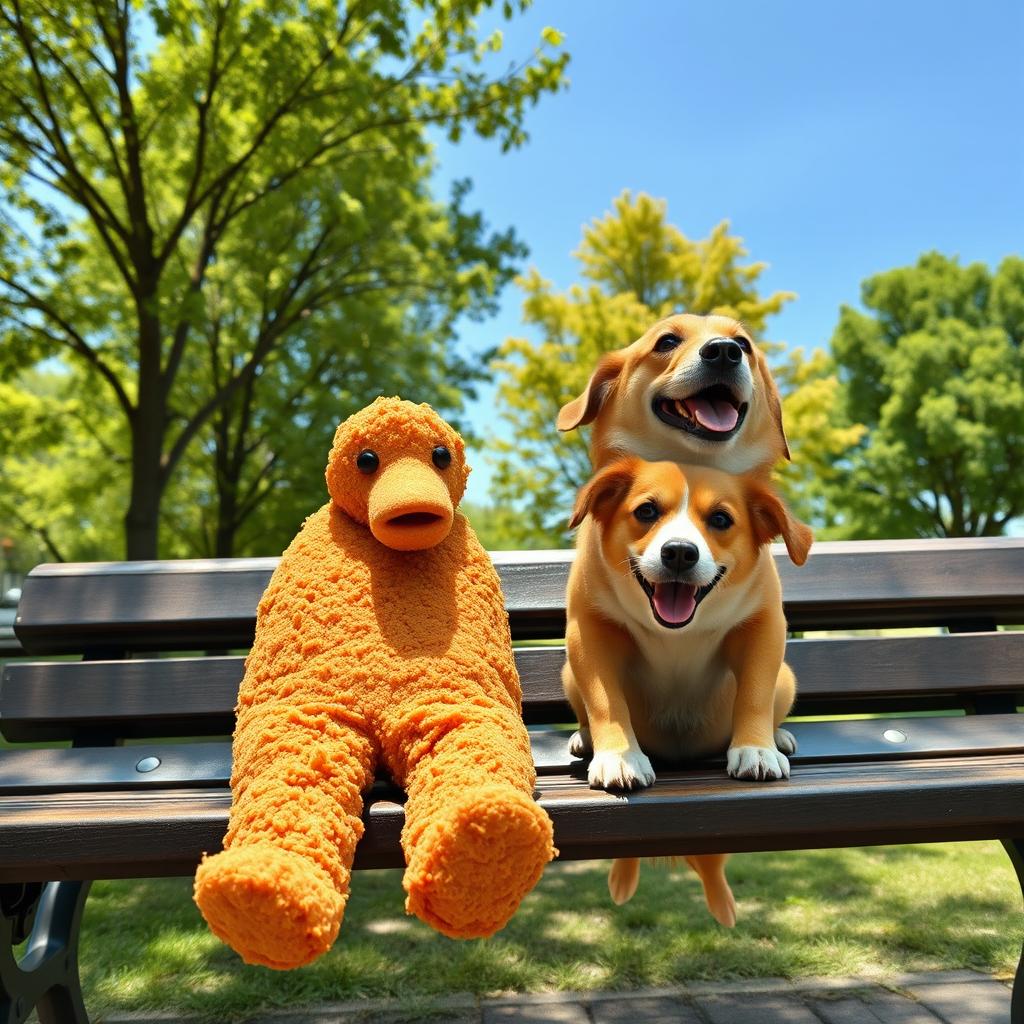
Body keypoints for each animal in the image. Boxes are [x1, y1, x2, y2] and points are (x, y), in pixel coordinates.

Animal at [561, 460, 806, 925]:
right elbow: (605, 702)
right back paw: (584, 739)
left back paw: (778, 736)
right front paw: (618, 756)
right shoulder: (588, 630)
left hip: (787, 677)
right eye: (646, 511)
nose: (678, 551)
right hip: (568, 672)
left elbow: (754, 693)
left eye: (721, 519)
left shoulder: (764, 626)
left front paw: (757, 749)